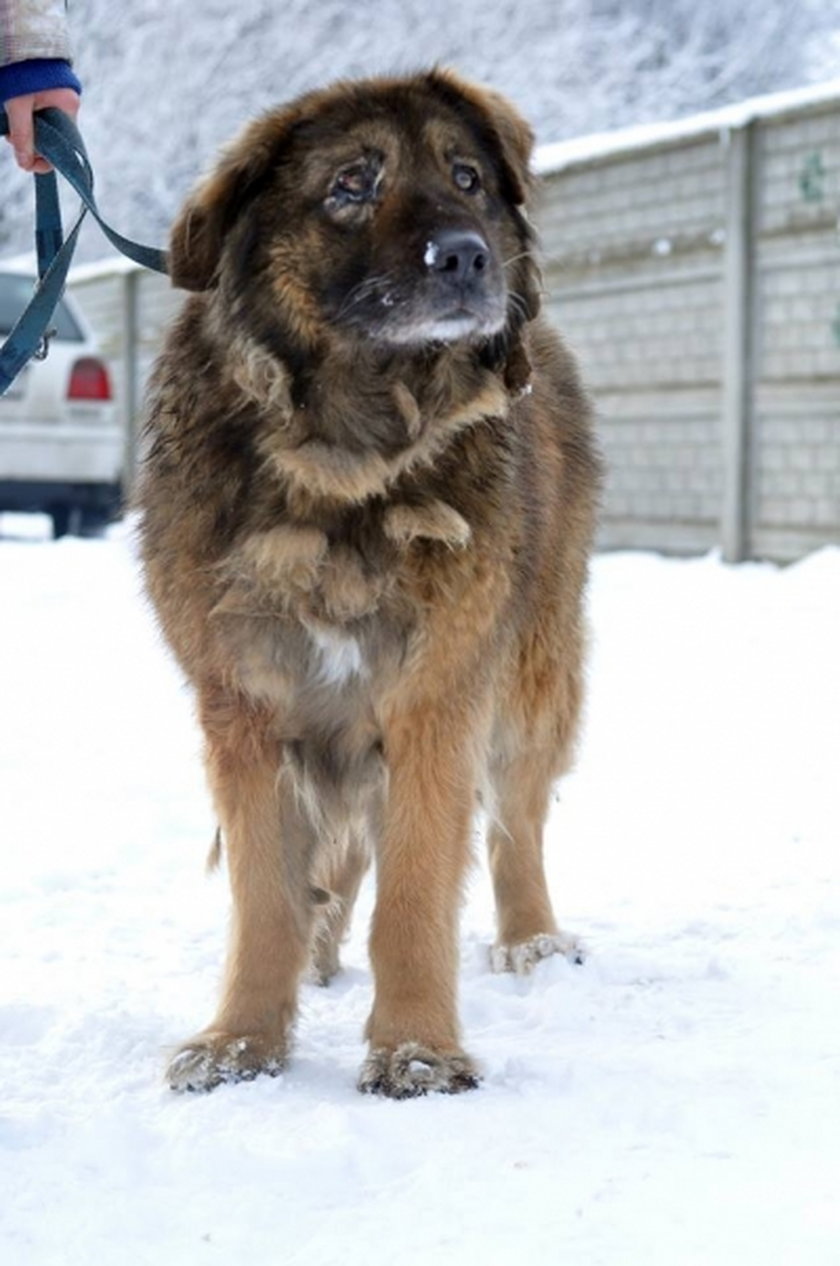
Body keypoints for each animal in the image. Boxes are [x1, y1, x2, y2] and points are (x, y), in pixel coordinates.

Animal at [135, 69, 597, 1098]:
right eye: (351, 185)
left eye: (467, 177)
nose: (466, 256)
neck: (350, 459)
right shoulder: (250, 707)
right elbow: (266, 894)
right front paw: (243, 1041)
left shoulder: (435, 698)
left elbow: (416, 891)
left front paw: (418, 1050)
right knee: (341, 848)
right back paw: (319, 951)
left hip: (530, 676)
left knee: (516, 820)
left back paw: (533, 940)